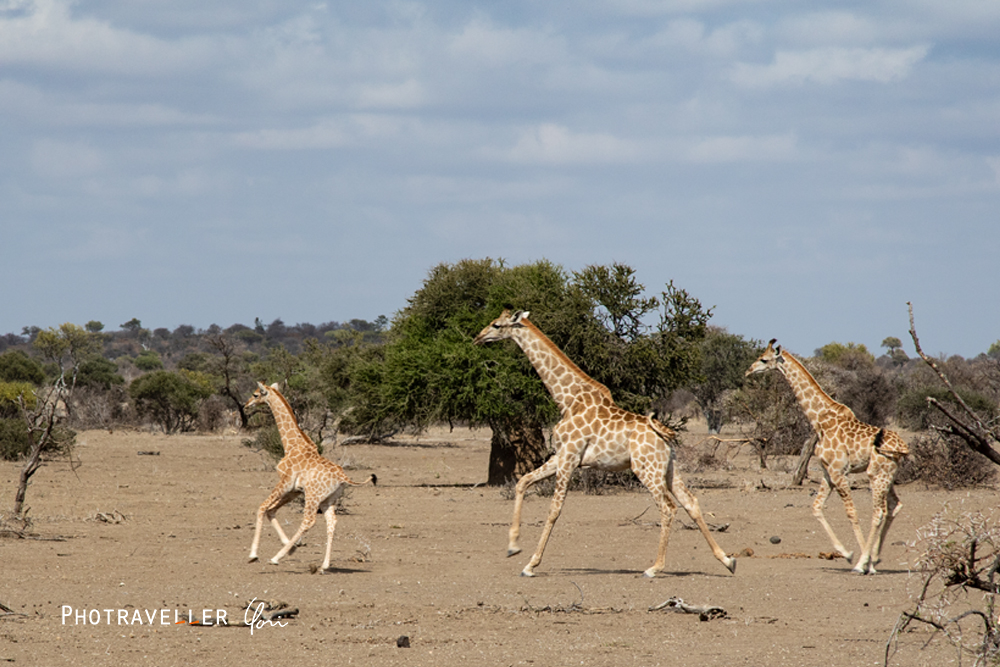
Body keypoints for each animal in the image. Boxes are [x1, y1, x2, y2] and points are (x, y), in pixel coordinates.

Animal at [245, 384, 376, 572]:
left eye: (256, 394)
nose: (246, 405)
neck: (291, 444)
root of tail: (343, 477)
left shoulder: (285, 482)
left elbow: (262, 507)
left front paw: (254, 555)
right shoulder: (295, 490)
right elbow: (271, 510)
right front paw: (292, 547)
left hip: (313, 496)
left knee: (308, 520)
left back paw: (276, 558)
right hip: (328, 499)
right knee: (332, 522)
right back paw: (324, 566)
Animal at [468, 310, 736, 576]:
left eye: (496, 325)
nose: (478, 338)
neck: (567, 399)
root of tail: (663, 434)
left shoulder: (569, 458)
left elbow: (554, 509)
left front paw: (531, 564)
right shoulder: (561, 456)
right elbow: (523, 481)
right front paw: (513, 547)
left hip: (645, 469)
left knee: (668, 507)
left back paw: (655, 567)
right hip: (668, 467)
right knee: (691, 502)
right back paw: (727, 560)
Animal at [748, 342, 912, 576]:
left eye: (763, 359)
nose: (749, 370)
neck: (819, 419)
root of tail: (903, 447)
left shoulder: (838, 471)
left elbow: (851, 512)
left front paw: (860, 562)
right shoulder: (827, 472)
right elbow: (816, 507)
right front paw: (848, 554)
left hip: (876, 474)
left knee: (879, 512)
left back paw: (866, 562)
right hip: (888, 475)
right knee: (894, 505)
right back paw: (875, 559)